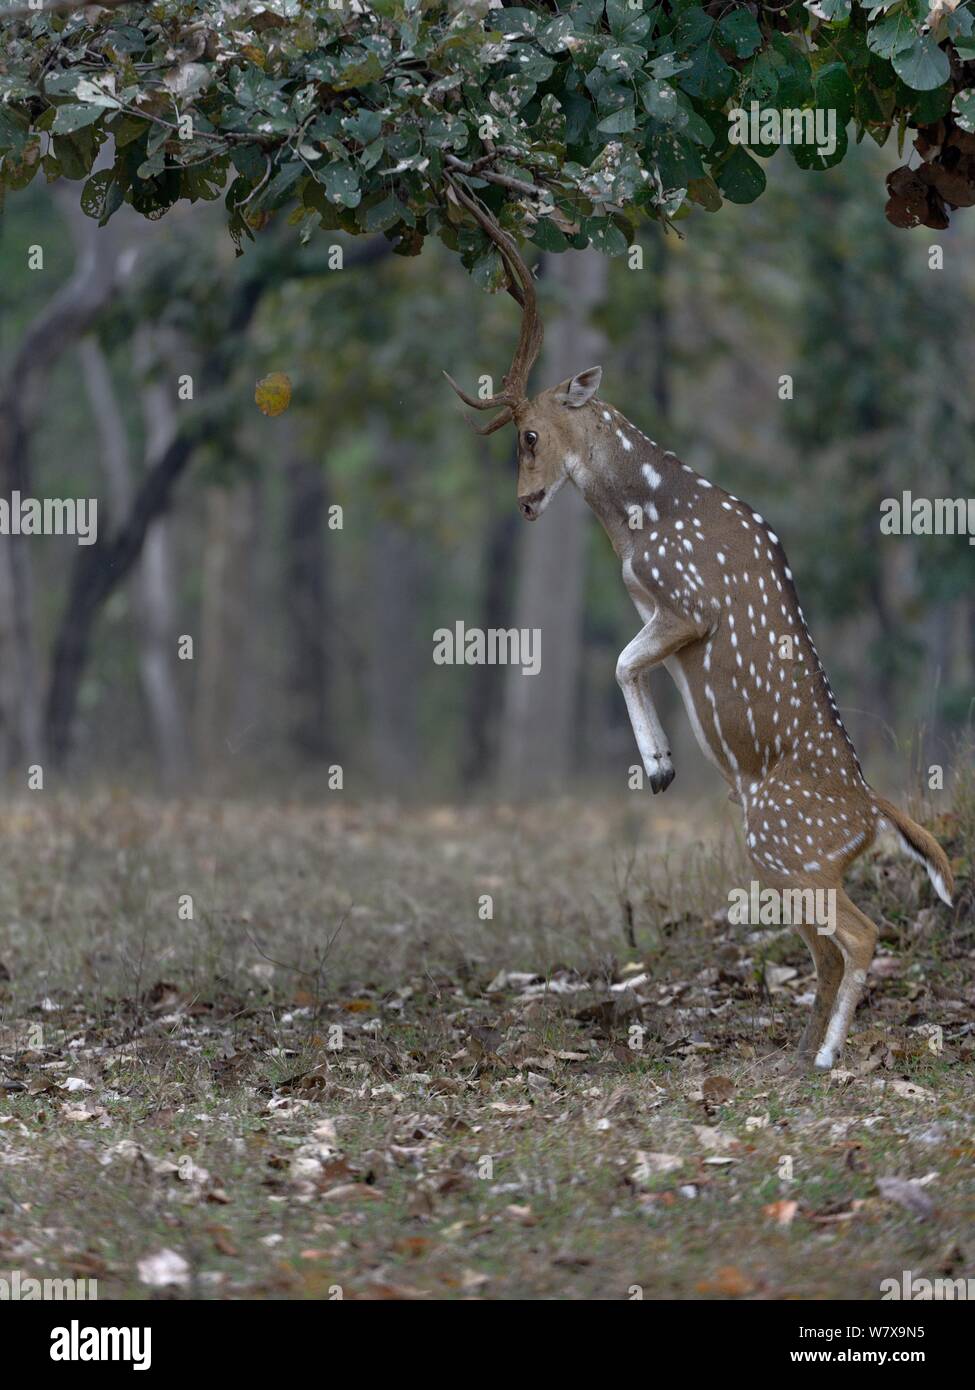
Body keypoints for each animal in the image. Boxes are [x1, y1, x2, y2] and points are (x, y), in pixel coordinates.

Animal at [444, 178, 954, 1072]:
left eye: (531, 434)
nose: (526, 502)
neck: (642, 520)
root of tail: (874, 820)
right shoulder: (652, 608)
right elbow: (632, 663)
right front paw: (662, 765)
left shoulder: (683, 602)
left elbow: (618, 661)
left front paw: (657, 768)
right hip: (783, 855)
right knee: (827, 947)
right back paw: (796, 1050)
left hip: (786, 843)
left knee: (861, 935)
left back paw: (824, 1058)